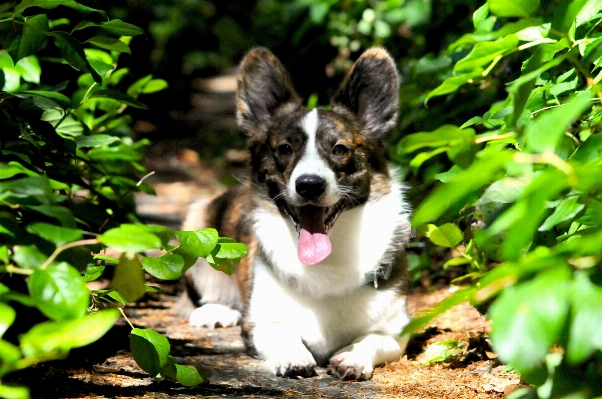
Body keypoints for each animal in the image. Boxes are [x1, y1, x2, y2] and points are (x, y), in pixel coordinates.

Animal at [180, 47, 410, 382]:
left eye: (340, 149)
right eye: (285, 149)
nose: (309, 185)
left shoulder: (397, 332)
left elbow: (374, 339)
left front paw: (353, 356)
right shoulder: (261, 323)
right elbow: (281, 333)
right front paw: (294, 356)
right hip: (197, 225)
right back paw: (217, 310)